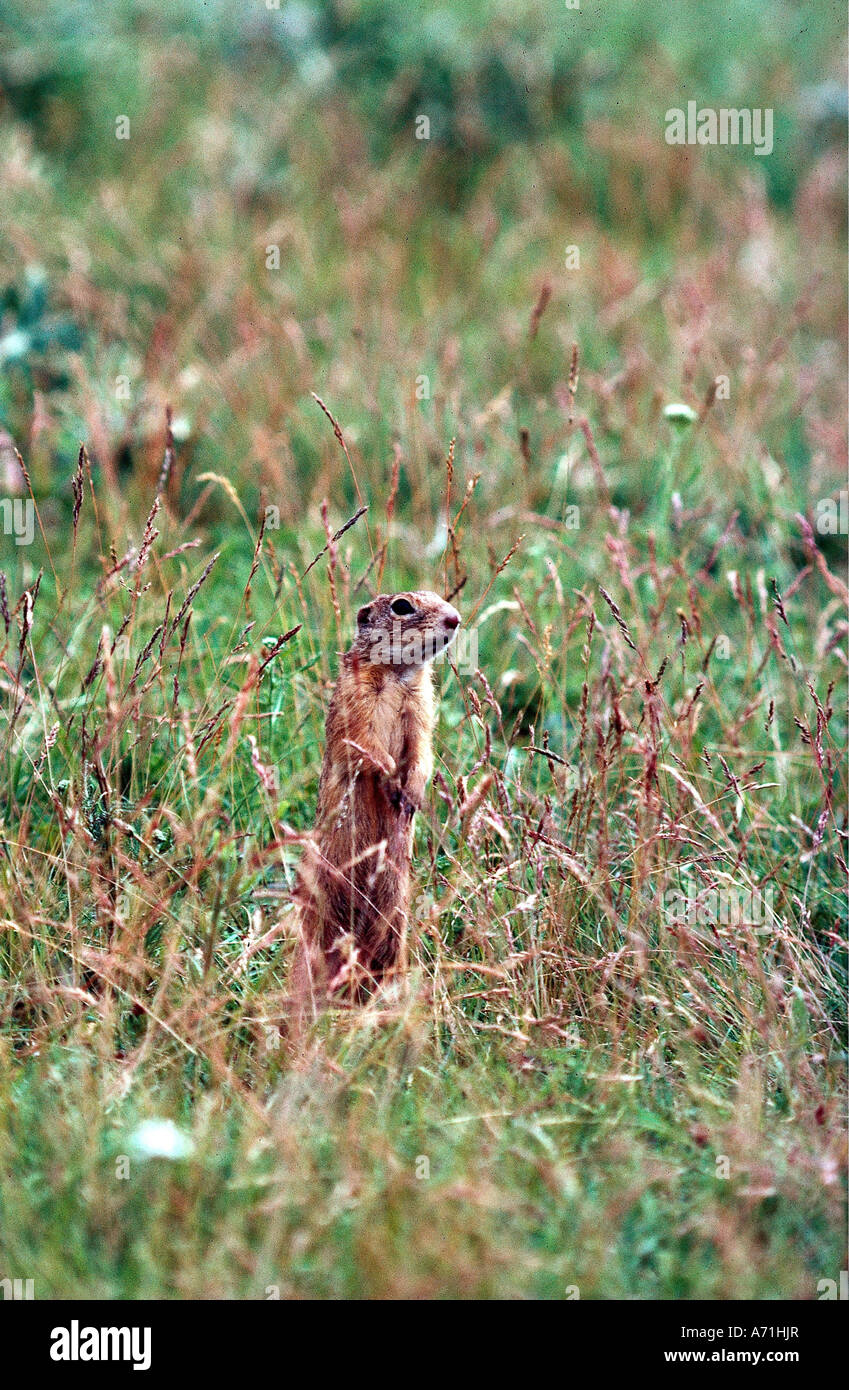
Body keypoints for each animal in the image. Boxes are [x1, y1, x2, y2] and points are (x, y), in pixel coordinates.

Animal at [294, 589, 464, 1023]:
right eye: (402, 606)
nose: (455, 619)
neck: (398, 676)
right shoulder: (357, 703)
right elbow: (367, 747)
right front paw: (391, 784)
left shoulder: (422, 709)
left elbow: (422, 754)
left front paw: (411, 796)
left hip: (394, 920)